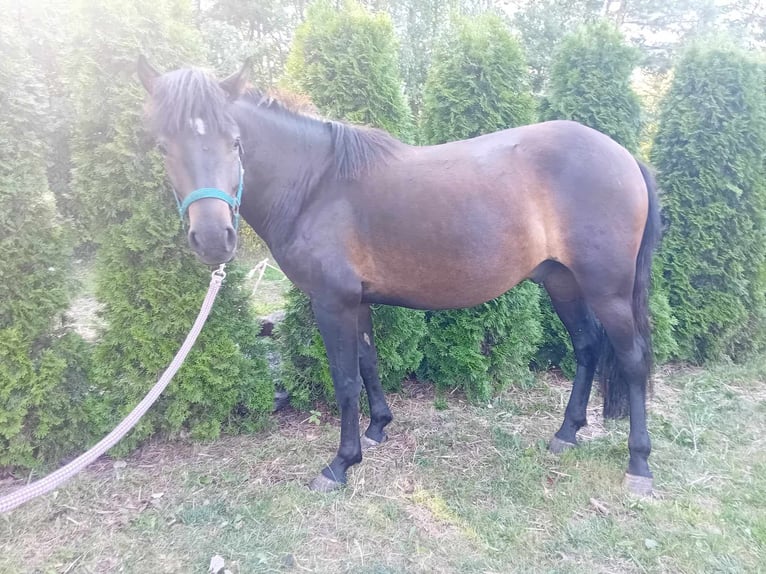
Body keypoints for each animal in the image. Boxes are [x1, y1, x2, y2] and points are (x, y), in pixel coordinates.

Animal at [136, 59, 660, 500]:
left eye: (235, 142)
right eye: (163, 146)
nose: (213, 238)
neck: (316, 187)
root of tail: (624, 157)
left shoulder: (332, 302)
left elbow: (345, 379)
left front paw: (340, 464)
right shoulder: (357, 301)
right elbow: (368, 363)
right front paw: (378, 429)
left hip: (608, 290)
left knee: (632, 360)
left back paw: (638, 465)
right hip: (562, 281)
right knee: (587, 347)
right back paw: (566, 433)